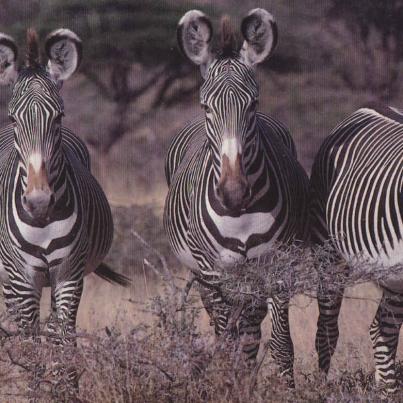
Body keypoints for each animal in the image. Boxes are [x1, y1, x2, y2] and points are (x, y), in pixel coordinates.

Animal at [0, 30, 129, 348]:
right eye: (12, 118)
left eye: (59, 116)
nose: (39, 202)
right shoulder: (23, 280)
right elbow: (31, 345)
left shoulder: (69, 275)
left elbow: (63, 342)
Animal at [164, 7, 310, 384]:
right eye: (206, 107)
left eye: (253, 104)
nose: (233, 192)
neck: (240, 215)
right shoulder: (214, 273)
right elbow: (226, 340)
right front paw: (229, 385)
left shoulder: (276, 268)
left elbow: (280, 344)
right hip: (204, 276)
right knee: (231, 332)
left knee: (250, 331)